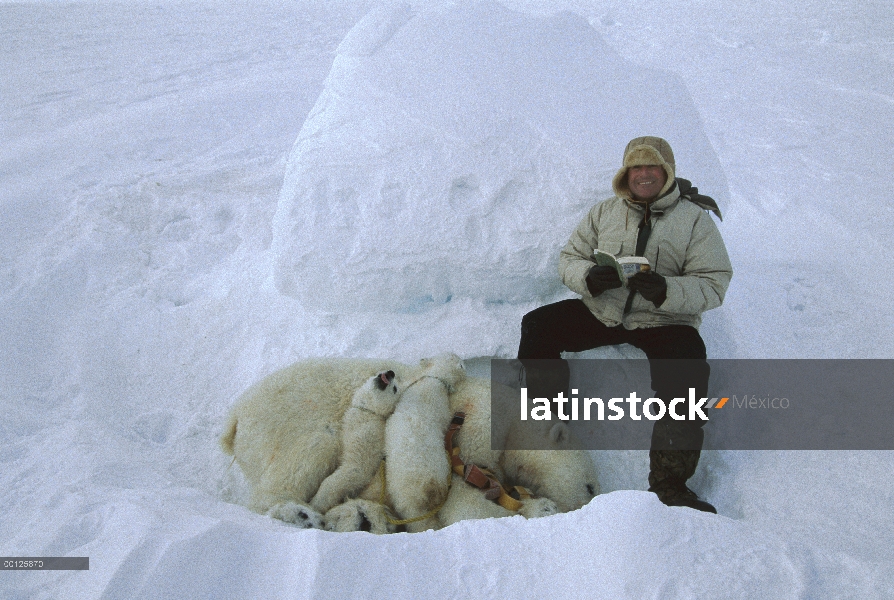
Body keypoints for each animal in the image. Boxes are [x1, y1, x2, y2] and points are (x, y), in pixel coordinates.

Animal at [220, 354, 600, 532]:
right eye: (590, 486)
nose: (586, 504)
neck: (509, 420)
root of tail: (235, 416)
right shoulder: (470, 432)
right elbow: (461, 503)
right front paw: (539, 507)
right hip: (287, 423)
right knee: (297, 465)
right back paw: (300, 512)